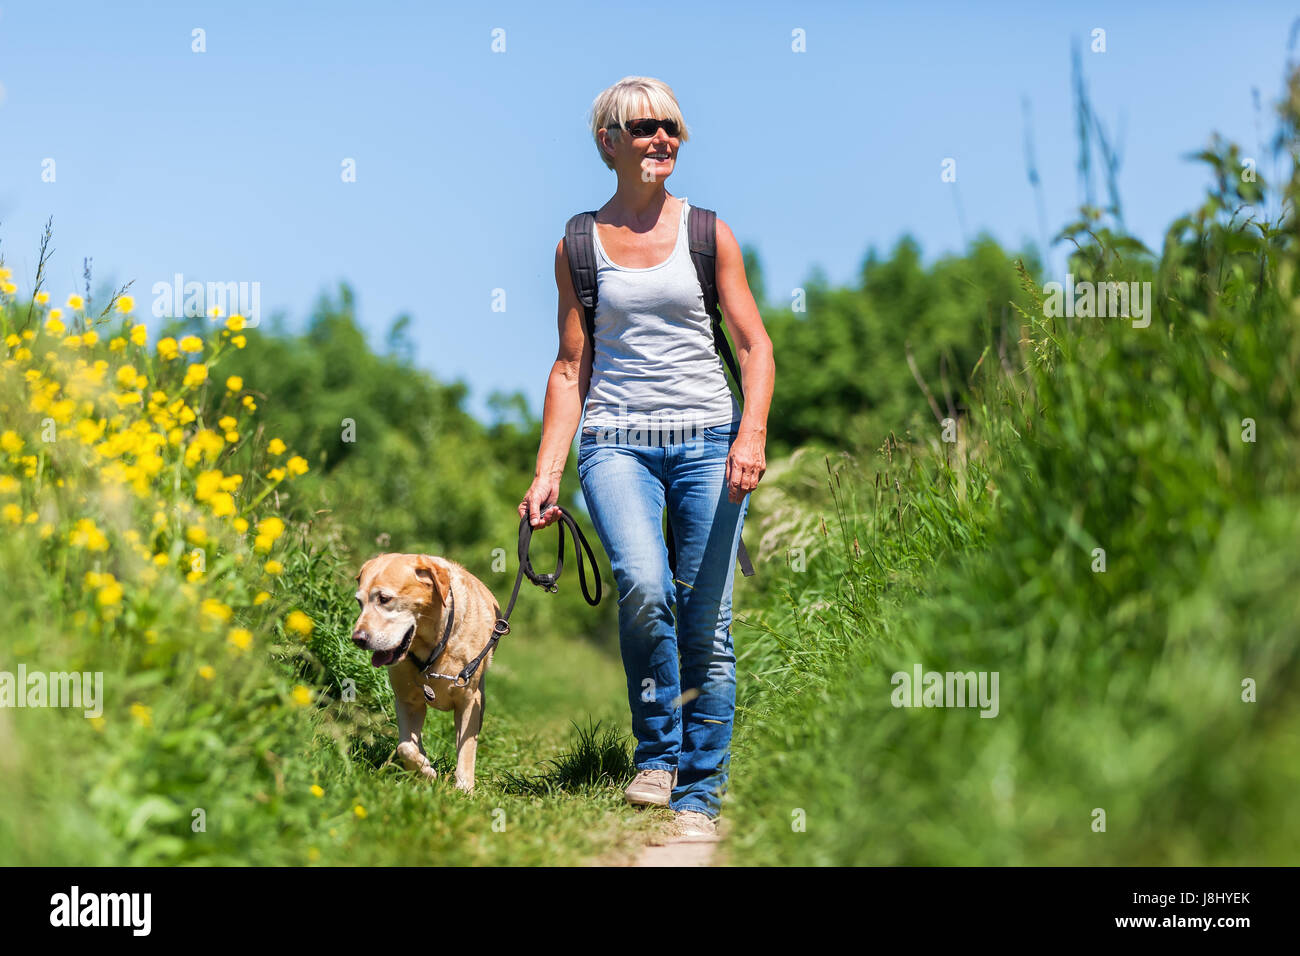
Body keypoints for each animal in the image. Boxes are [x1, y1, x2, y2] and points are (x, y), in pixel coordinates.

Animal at [351, 554, 501, 790]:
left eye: (384, 599)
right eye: (359, 602)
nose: (357, 639)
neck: (434, 647)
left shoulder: (469, 701)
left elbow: (467, 748)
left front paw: (464, 788)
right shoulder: (407, 702)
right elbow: (405, 746)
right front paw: (424, 770)